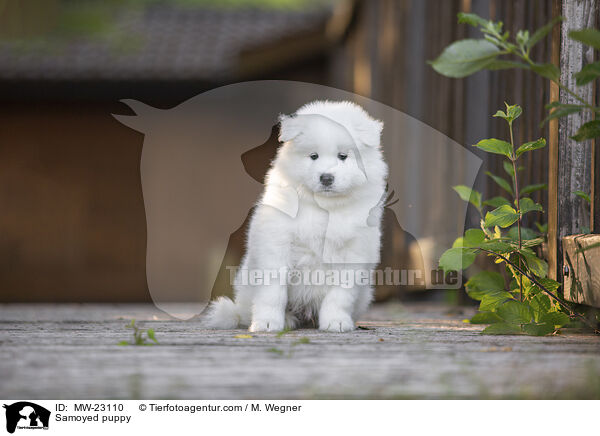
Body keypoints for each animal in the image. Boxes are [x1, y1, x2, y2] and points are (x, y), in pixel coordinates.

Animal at [204, 100, 386, 332]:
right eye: (313, 156)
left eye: (343, 156)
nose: (326, 178)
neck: (324, 208)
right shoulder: (276, 244)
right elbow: (273, 292)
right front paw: (267, 323)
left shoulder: (354, 253)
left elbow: (340, 295)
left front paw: (336, 322)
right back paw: (287, 319)